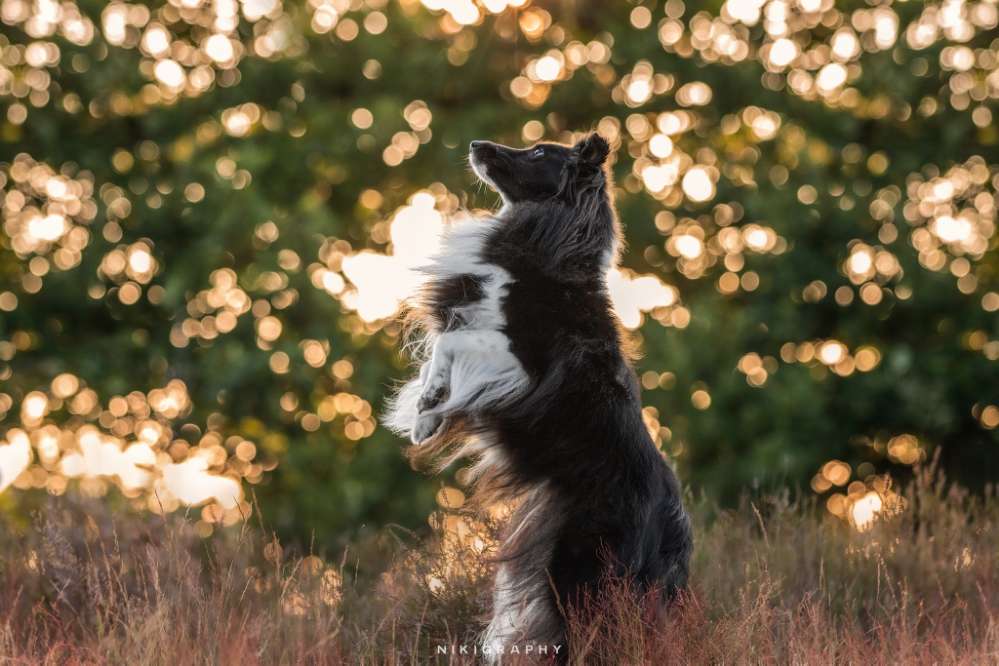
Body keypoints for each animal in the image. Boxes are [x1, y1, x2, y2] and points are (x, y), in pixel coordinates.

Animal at [386, 131, 692, 660]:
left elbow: (450, 342)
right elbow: (437, 356)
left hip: (582, 577)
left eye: (539, 153)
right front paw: (426, 418)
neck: (553, 248)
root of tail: (672, 522)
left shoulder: (518, 362)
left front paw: (429, 403)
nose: (476, 143)